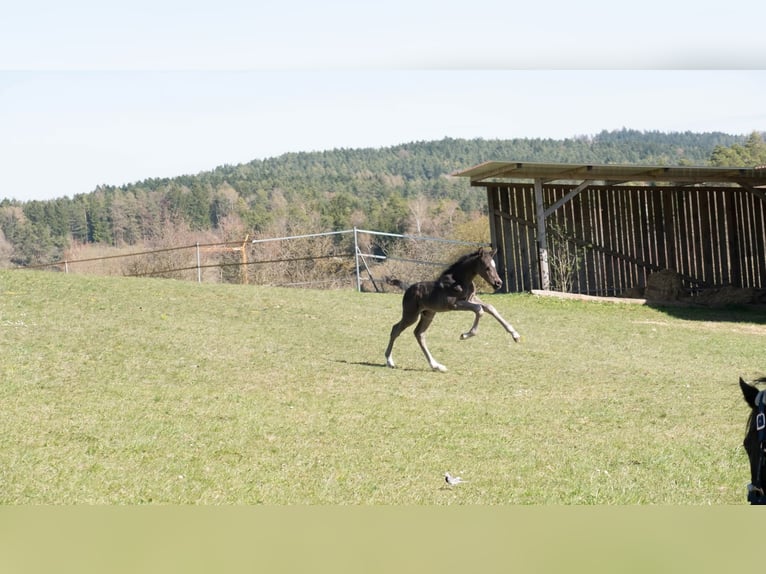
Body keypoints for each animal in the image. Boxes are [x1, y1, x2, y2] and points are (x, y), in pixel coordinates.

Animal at [384, 247, 521, 372]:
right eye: (487, 267)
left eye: (494, 266)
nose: (498, 283)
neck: (459, 280)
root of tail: (407, 288)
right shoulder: (454, 304)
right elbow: (479, 309)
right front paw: (465, 335)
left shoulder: (471, 298)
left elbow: (489, 307)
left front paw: (515, 335)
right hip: (411, 315)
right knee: (396, 329)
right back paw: (390, 361)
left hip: (428, 314)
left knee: (419, 334)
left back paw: (436, 366)